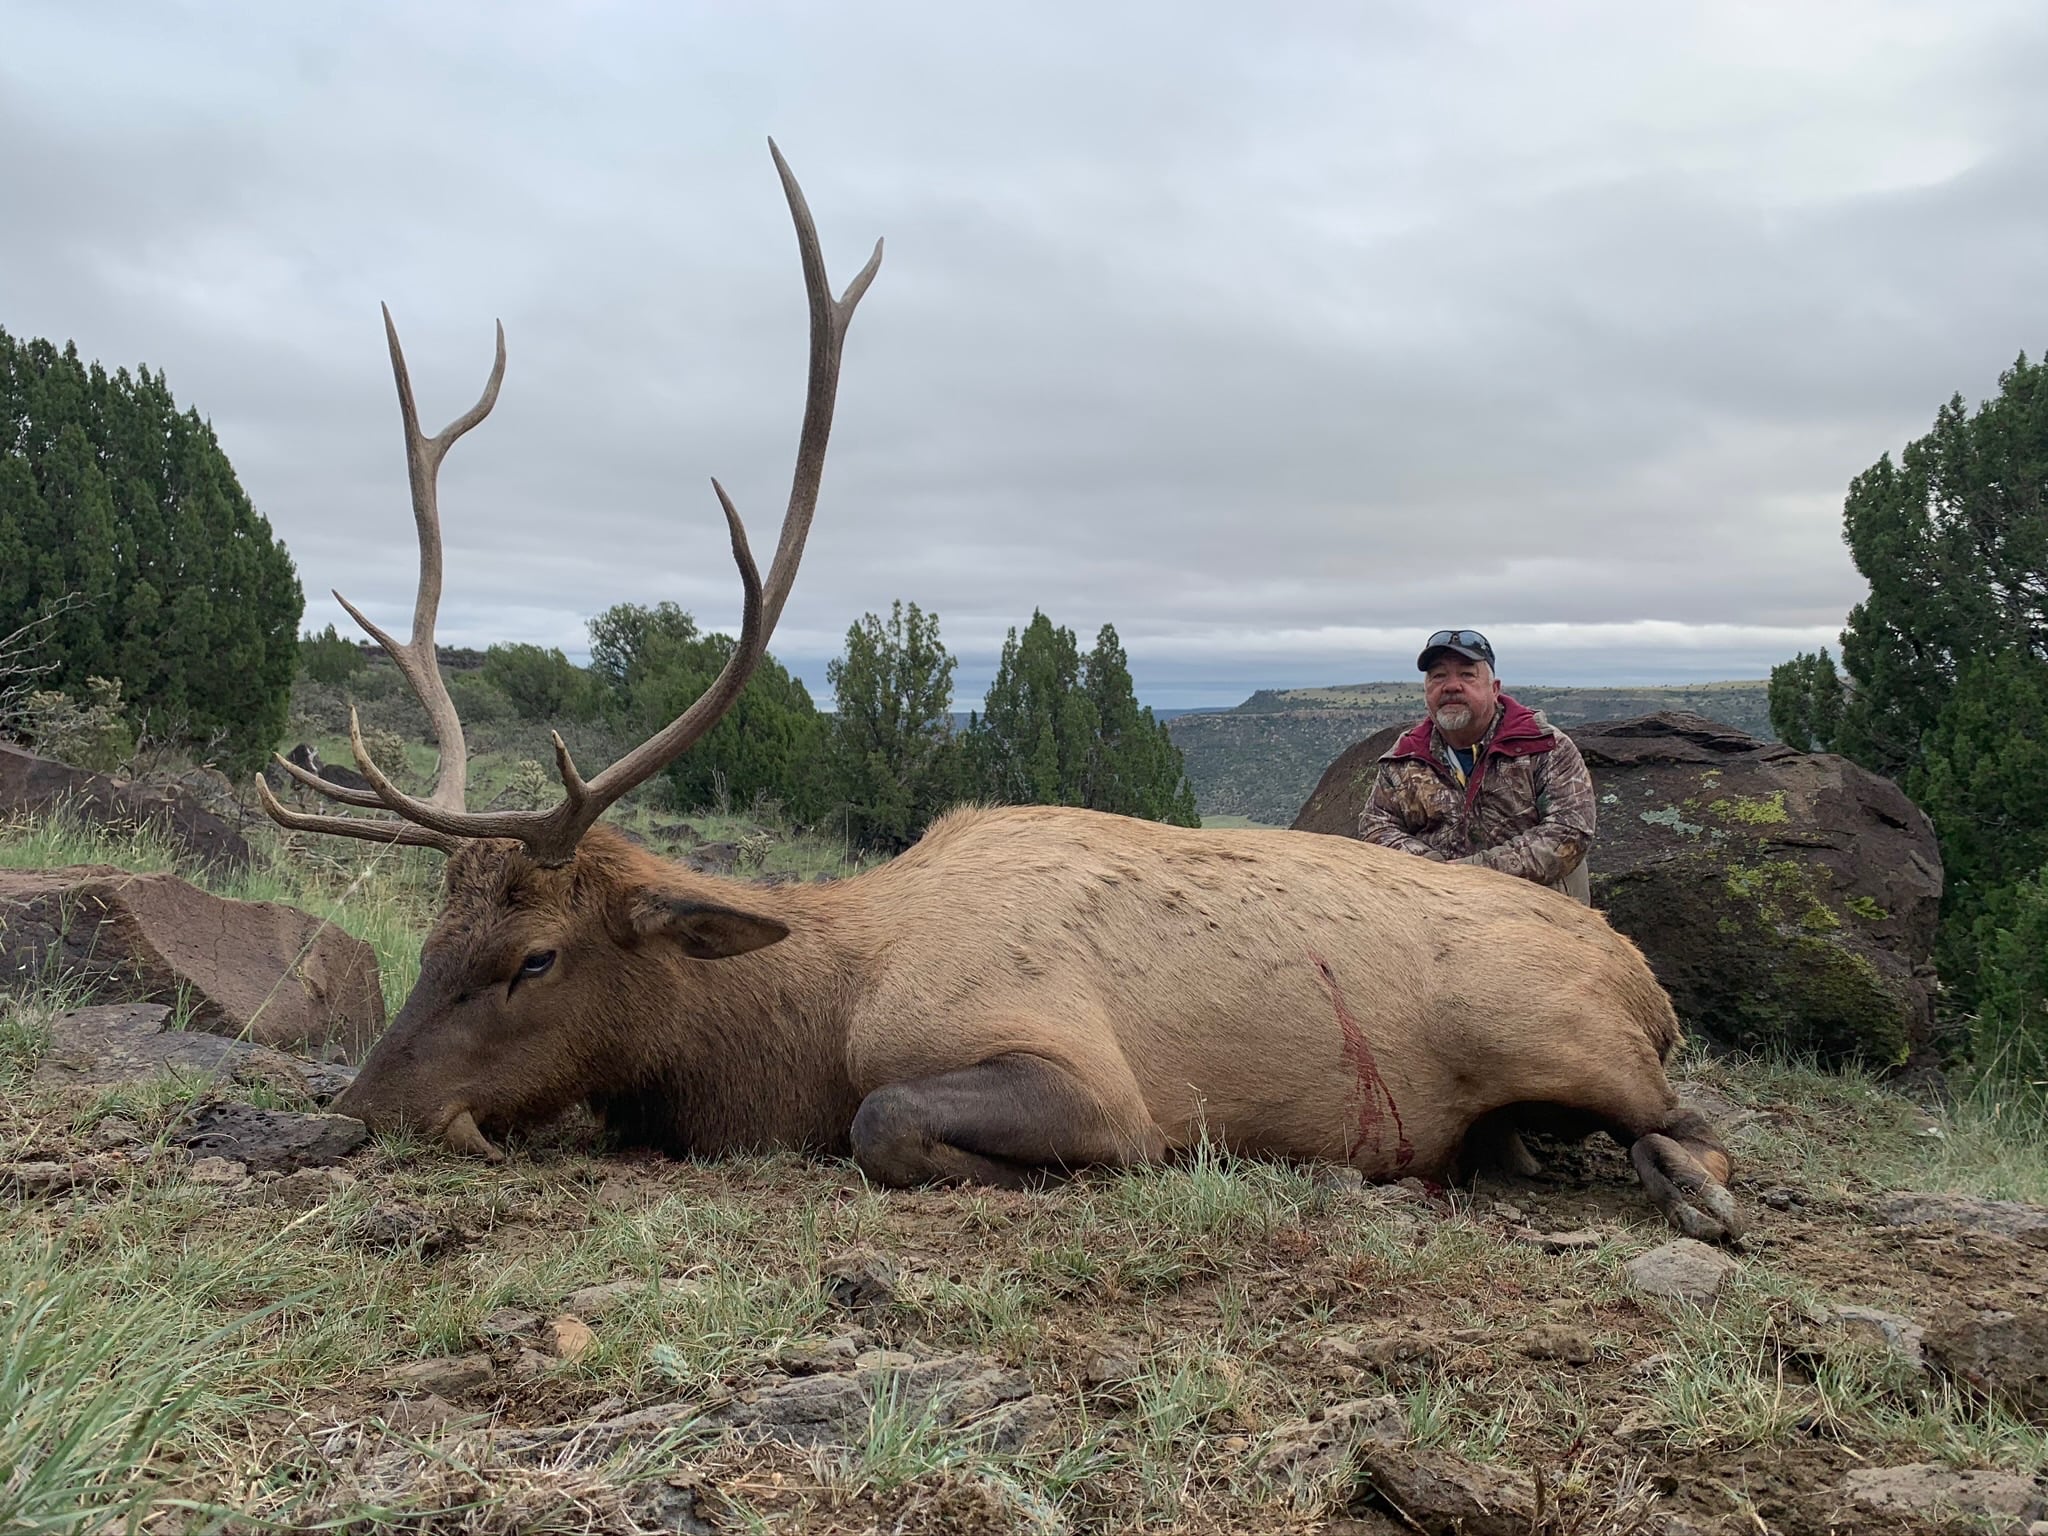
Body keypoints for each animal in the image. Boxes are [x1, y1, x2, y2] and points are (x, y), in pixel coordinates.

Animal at [258, 141, 1744, 1244]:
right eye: (432, 936)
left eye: (535, 957)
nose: (358, 1110)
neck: (806, 1023)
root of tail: (1639, 973)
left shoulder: (1074, 1065)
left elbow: (886, 1123)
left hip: (1557, 1031)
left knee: (1692, 1122)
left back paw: (1688, 1191)